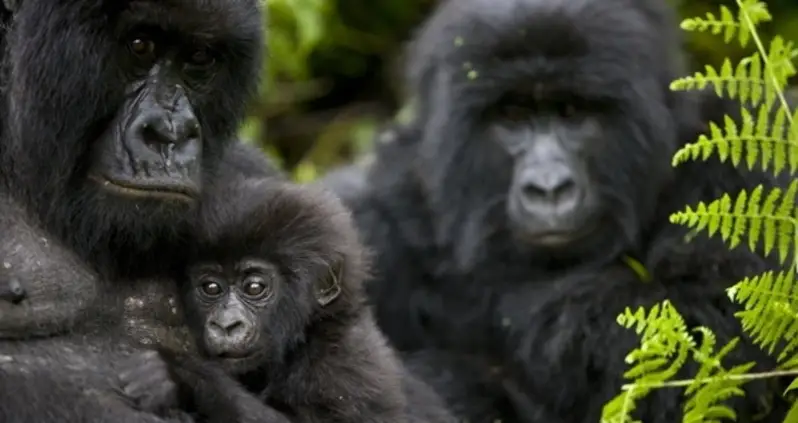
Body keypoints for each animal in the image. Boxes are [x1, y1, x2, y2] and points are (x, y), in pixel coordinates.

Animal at [118, 179, 456, 423]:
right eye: (211, 287)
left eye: (254, 287)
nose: (226, 325)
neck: (307, 335)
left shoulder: (340, 367)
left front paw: (180, 377)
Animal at [326, 0, 792, 420]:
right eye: (513, 115)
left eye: (571, 112)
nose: (548, 189)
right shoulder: (373, 216)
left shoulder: (745, 162)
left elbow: (709, 321)